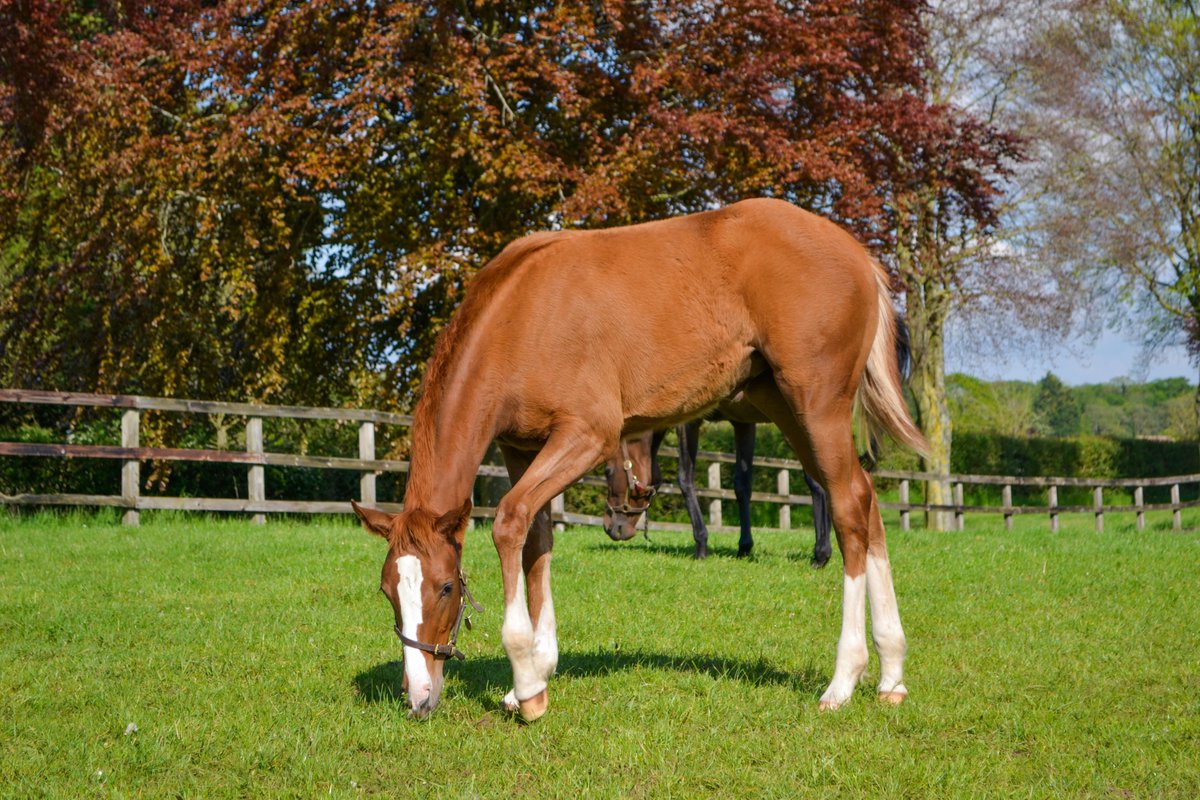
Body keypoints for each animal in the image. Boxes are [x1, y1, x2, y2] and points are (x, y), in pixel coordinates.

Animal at [350, 199, 926, 719]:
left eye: (446, 587)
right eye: (386, 592)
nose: (418, 699)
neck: (521, 319)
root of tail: (858, 255)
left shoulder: (587, 435)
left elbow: (510, 523)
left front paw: (528, 685)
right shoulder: (521, 448)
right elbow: (536, 541)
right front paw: (536, 672)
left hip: (817, 405)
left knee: (848, 508)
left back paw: (844, 679)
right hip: (785, 408)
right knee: (866, 503)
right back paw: (892, 674)